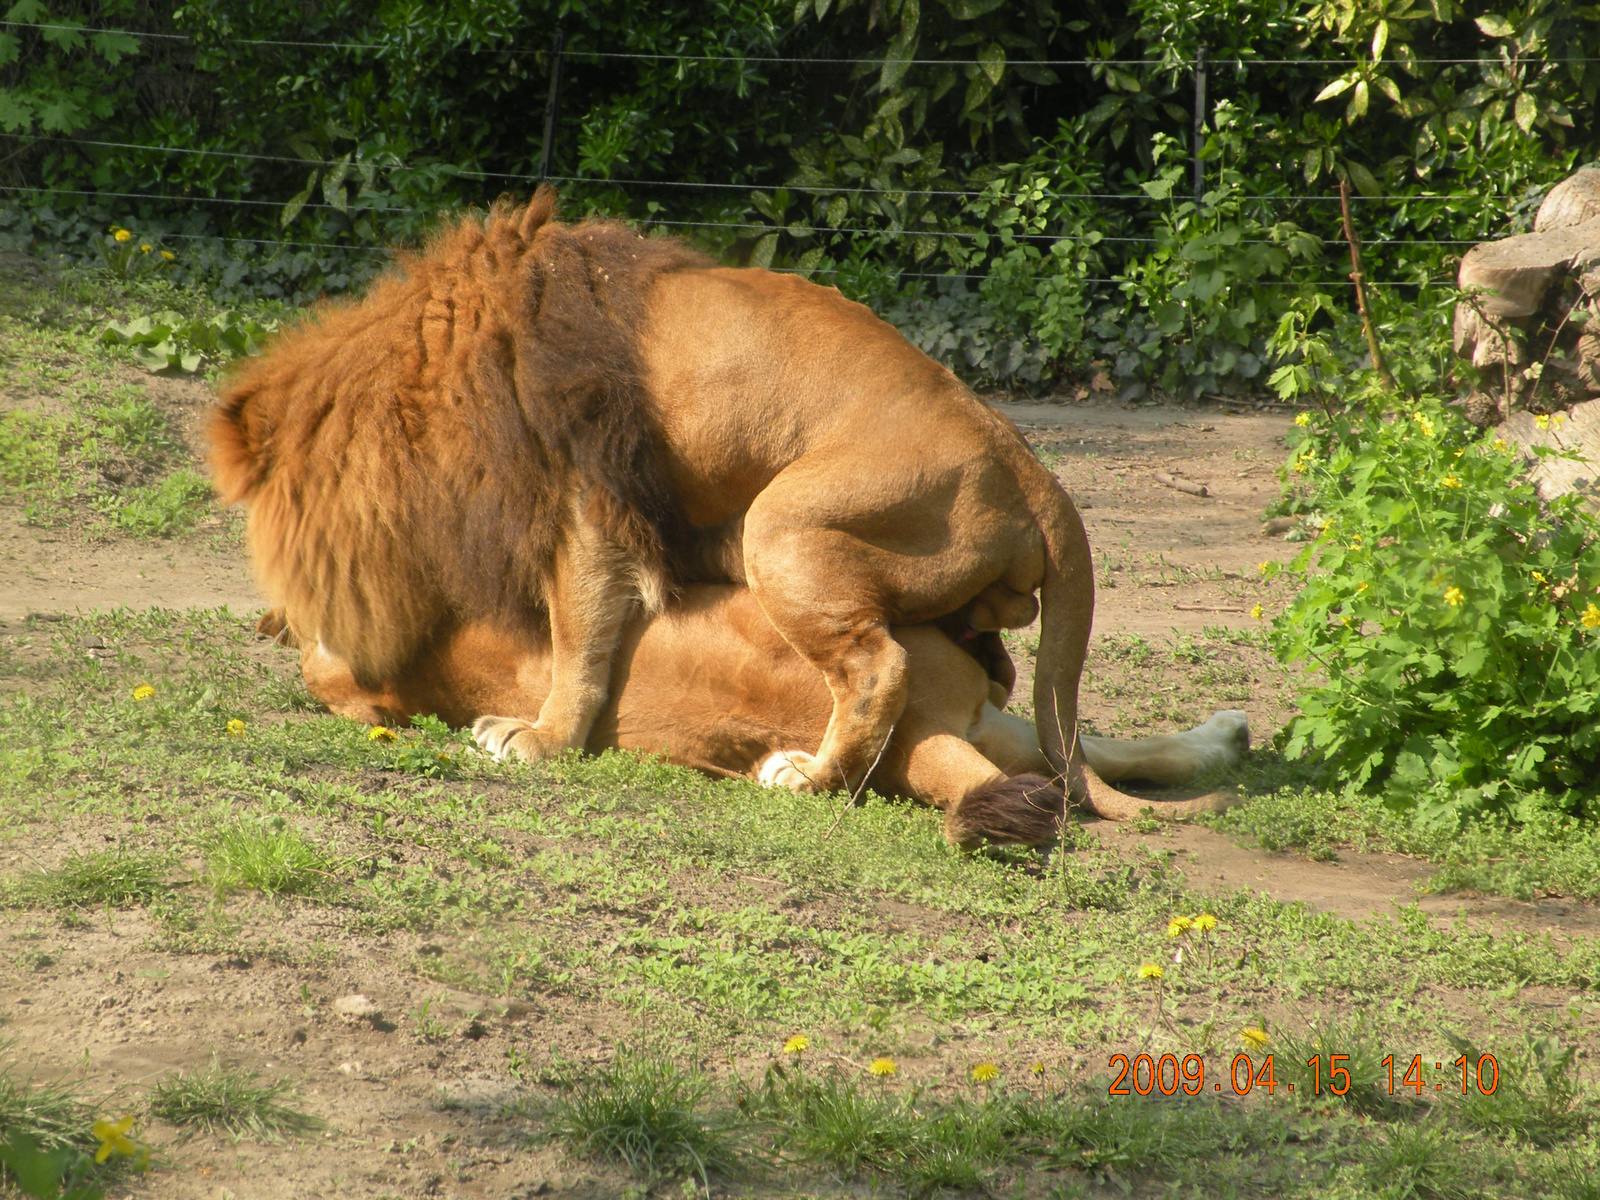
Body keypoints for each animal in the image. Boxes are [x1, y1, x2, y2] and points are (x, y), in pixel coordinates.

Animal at [209, 188, 1209, 825]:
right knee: (1010, 690)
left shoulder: (586, 501)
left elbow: (577, 637)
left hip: (784, 528)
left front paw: (541, 739)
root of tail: (1031, 466)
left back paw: (808, 778)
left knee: (879, 669)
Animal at [262, 598, 1241, 851]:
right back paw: (1225, 740)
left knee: (1086, 755)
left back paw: (1226, 736)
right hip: (972, 716)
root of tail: (917, 730)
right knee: (1077, 758)